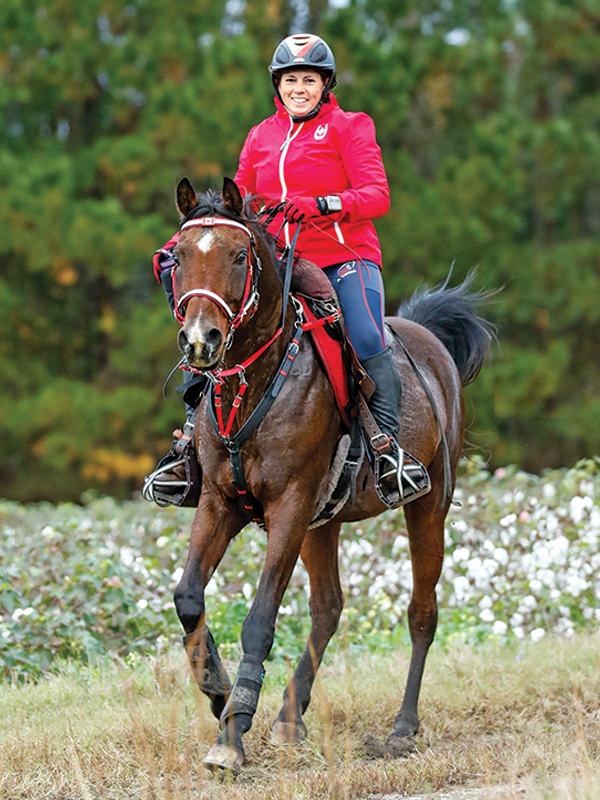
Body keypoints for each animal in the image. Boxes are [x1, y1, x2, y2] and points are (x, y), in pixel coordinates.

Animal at [169, 176, 494, 775]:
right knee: (328, 609)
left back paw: (402, 728)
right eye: (177, 256)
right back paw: (289, 717)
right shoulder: (220, 503)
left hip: (427, 506)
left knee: (422, 613)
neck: (254, 383)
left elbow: (260, 618)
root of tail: (429, 338)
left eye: (238, 254)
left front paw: (233, 731)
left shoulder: (290, 507)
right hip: (323, 524)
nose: (201, 340)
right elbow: (189, 599)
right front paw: (220, 694)